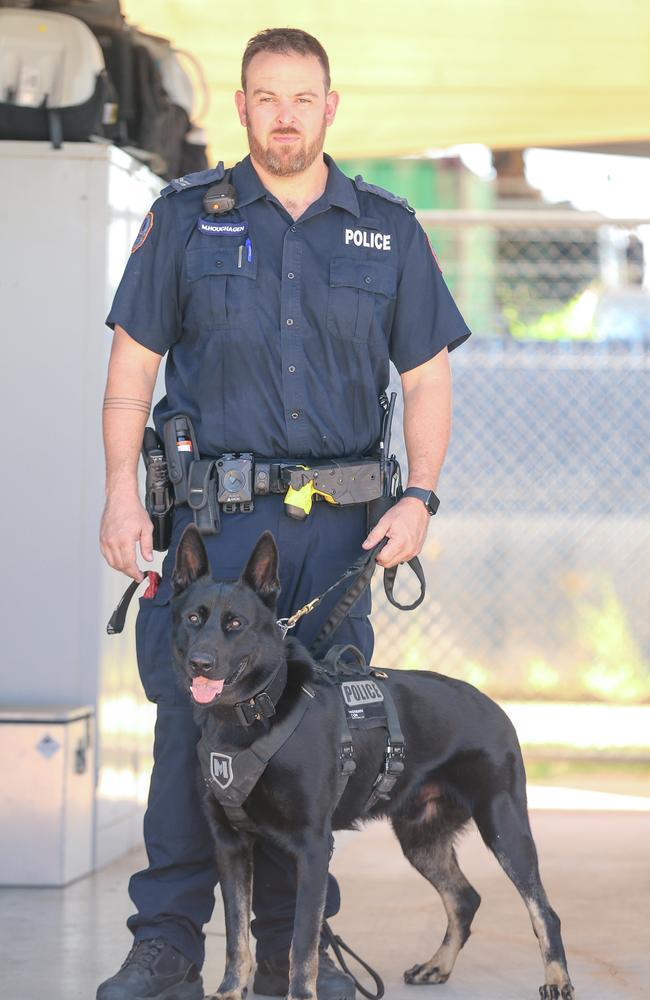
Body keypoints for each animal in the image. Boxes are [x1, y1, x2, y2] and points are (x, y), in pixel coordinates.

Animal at [168, 524, 572, 1000]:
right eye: (193, 618)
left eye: (235, 624)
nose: (201, 663)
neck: (253, 714)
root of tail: (494, 706)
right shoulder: (230, 846)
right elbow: (235, 937)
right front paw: (231, 990)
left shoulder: (312, 847)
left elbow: (302, 944)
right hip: (420, 838)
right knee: (464, 898)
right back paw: (438, 965)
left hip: (503, 825)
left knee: (543, 910)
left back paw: (557, 980)